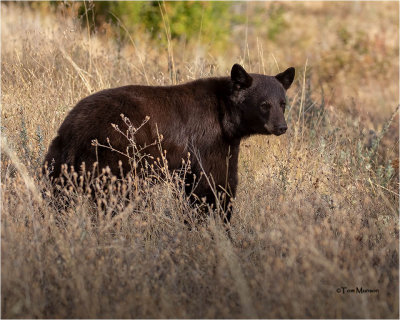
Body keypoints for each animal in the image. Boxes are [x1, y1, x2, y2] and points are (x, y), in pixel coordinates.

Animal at [44, 63, 294, 221]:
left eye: (282, 103)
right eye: (264, 104)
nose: (281, 127)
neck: (226, 117)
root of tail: (73, 130)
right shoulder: (208, 140)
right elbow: (215, 183)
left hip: (58, 161)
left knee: (57, 196)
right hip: (114, 157)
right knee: (118, 198)